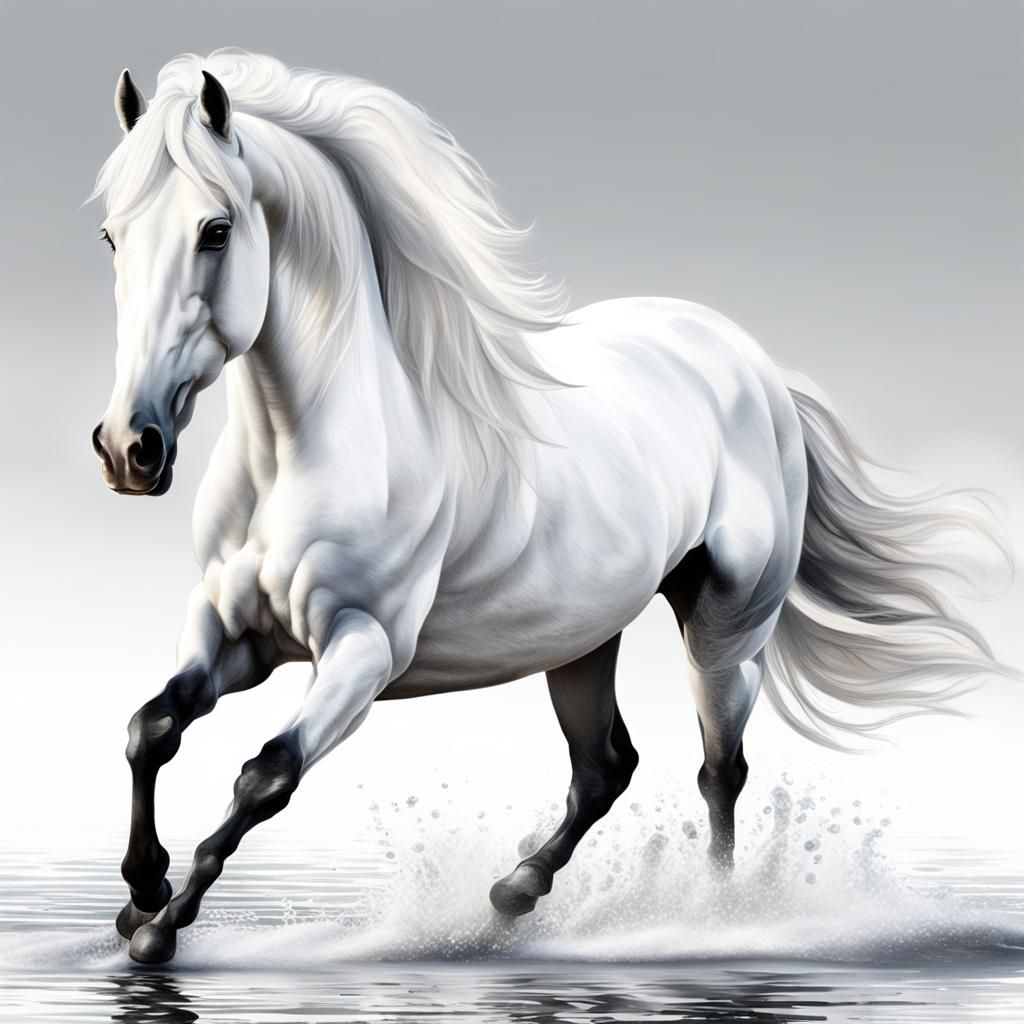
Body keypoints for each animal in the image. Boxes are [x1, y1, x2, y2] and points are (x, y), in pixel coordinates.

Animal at [90, 49, 1014, 965]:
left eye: (215, 230)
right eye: (111, 235)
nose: (130, 448)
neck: (303, 456)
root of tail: (755, 368)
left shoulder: (363, 648)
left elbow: (265, 775)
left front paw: (161, 928)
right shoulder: (232, 630)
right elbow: (149, 728)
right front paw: (140, 894)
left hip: (723, 630)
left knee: (720, 770)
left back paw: (716, 919)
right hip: (581, 638)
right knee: (606, 766)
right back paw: (512, 896)